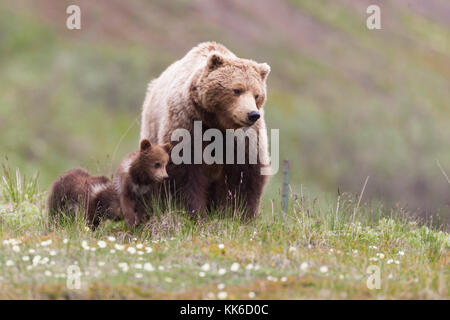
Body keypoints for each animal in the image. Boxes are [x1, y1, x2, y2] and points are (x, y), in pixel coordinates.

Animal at [141, 41, 270, 219]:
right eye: (237, 90)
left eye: (257, 95)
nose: (252, 114)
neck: (217, 123)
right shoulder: (187, 125)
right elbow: (184, 173)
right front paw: (193, 213)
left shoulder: (243, 140)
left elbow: (243, 177)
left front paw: (237, 214)